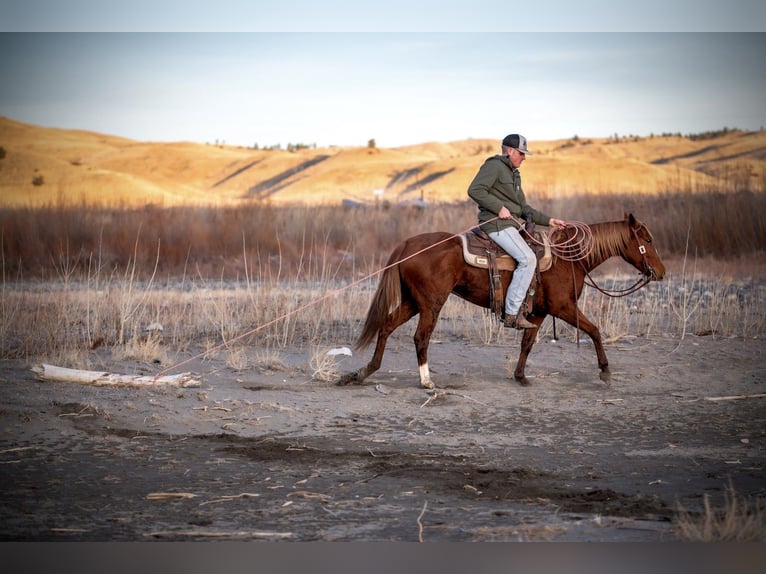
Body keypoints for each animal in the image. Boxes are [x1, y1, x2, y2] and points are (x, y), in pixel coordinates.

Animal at [337, 213, 665, 388]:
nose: (661, 272)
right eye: (647, 240)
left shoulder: (538, 313)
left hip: (412, 302)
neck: (568, 259)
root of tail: (407, 244)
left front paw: (520, 376)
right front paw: (605, 370)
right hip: (431, 303)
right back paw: (426, 381)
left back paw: (363, 372)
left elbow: (527, 343)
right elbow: (595, 330)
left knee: (386, 327)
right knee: (421, 337)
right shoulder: (564, 308)